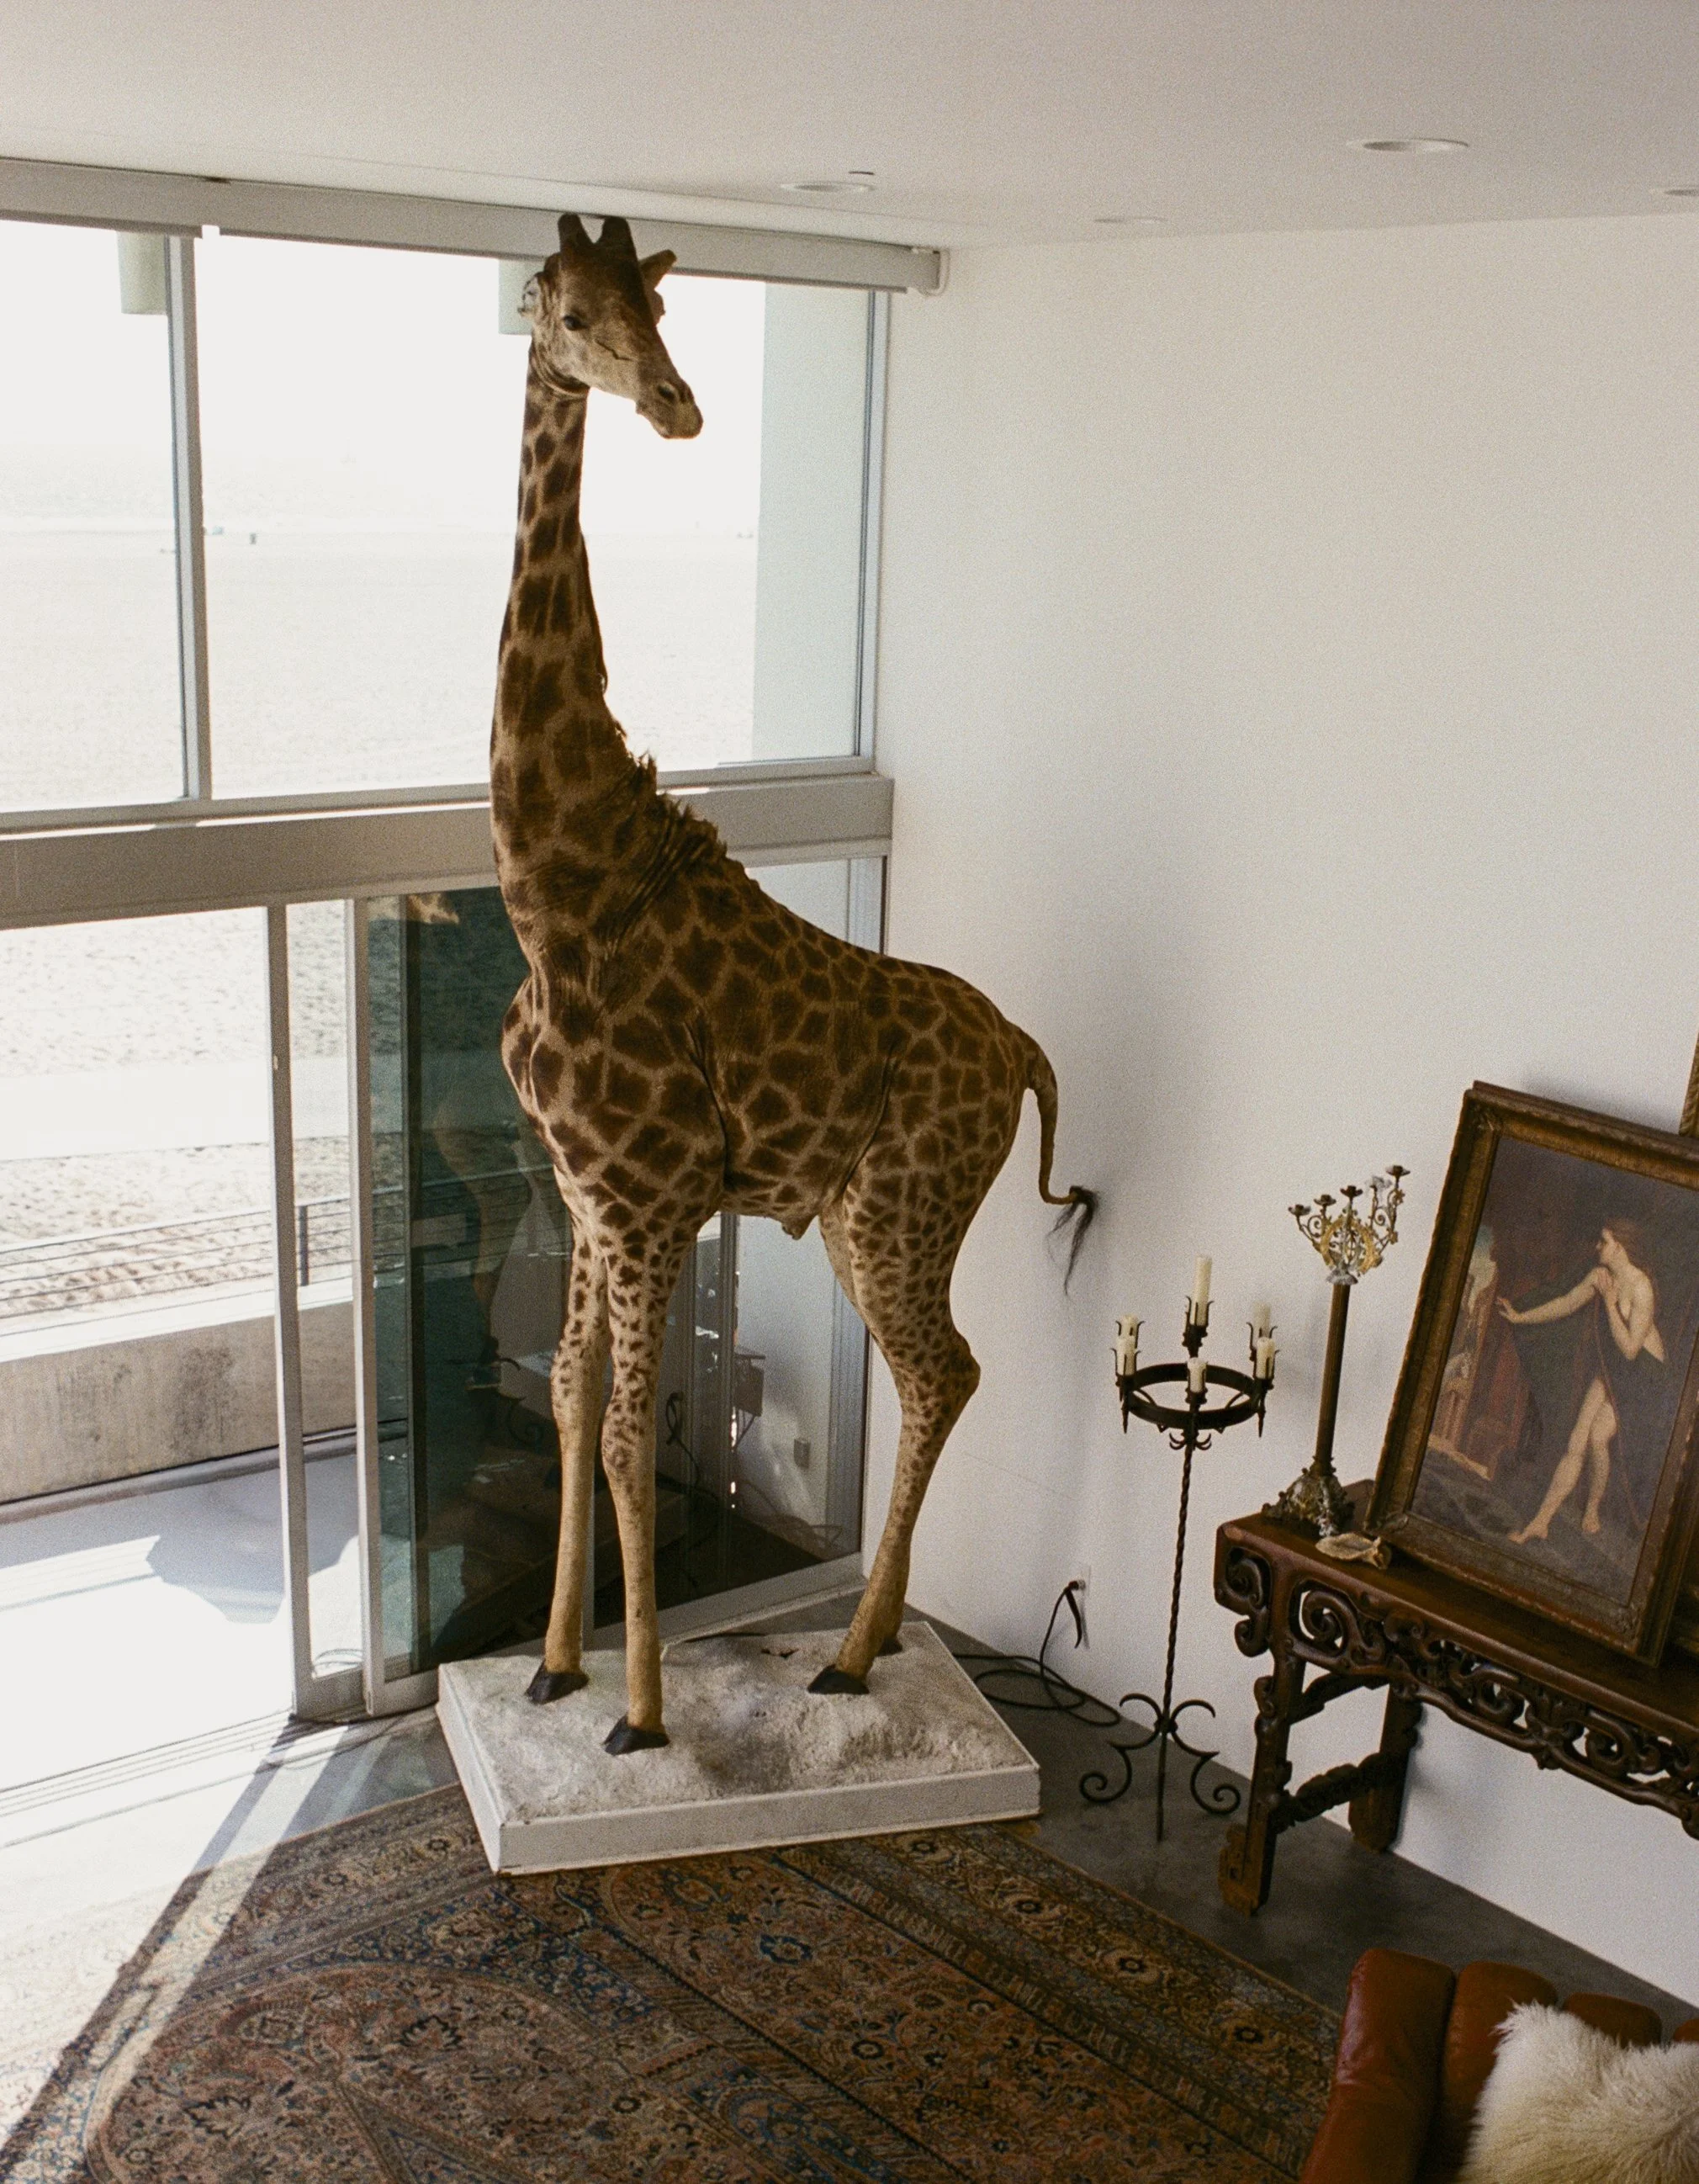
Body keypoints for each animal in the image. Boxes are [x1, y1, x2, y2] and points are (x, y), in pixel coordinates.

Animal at [494, 214, 1094, 1753]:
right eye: (569, 311)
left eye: (655, 308)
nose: (677, 404)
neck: (558, 889)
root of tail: (1025, 1047)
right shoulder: (585, 1192)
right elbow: (573, 1398)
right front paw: (557, 1665)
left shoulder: (649, 1199)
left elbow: (635, 1433)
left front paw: (644, 1712)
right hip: (862, 1219)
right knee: (937, 1376)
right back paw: (859, 1643)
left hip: (895, 1214)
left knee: (946, 1373)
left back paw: (854, 1655)